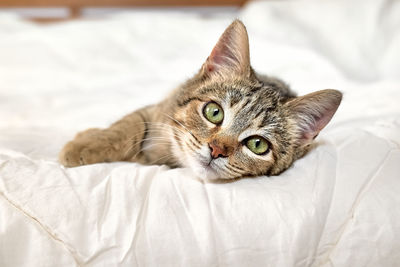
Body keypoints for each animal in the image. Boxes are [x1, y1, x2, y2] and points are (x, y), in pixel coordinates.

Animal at [58, 19, 340, 180]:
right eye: (214, 112)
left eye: (258, 145)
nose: (216, 150)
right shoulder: (160, 109)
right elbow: (129, 126)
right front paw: (87, 143)